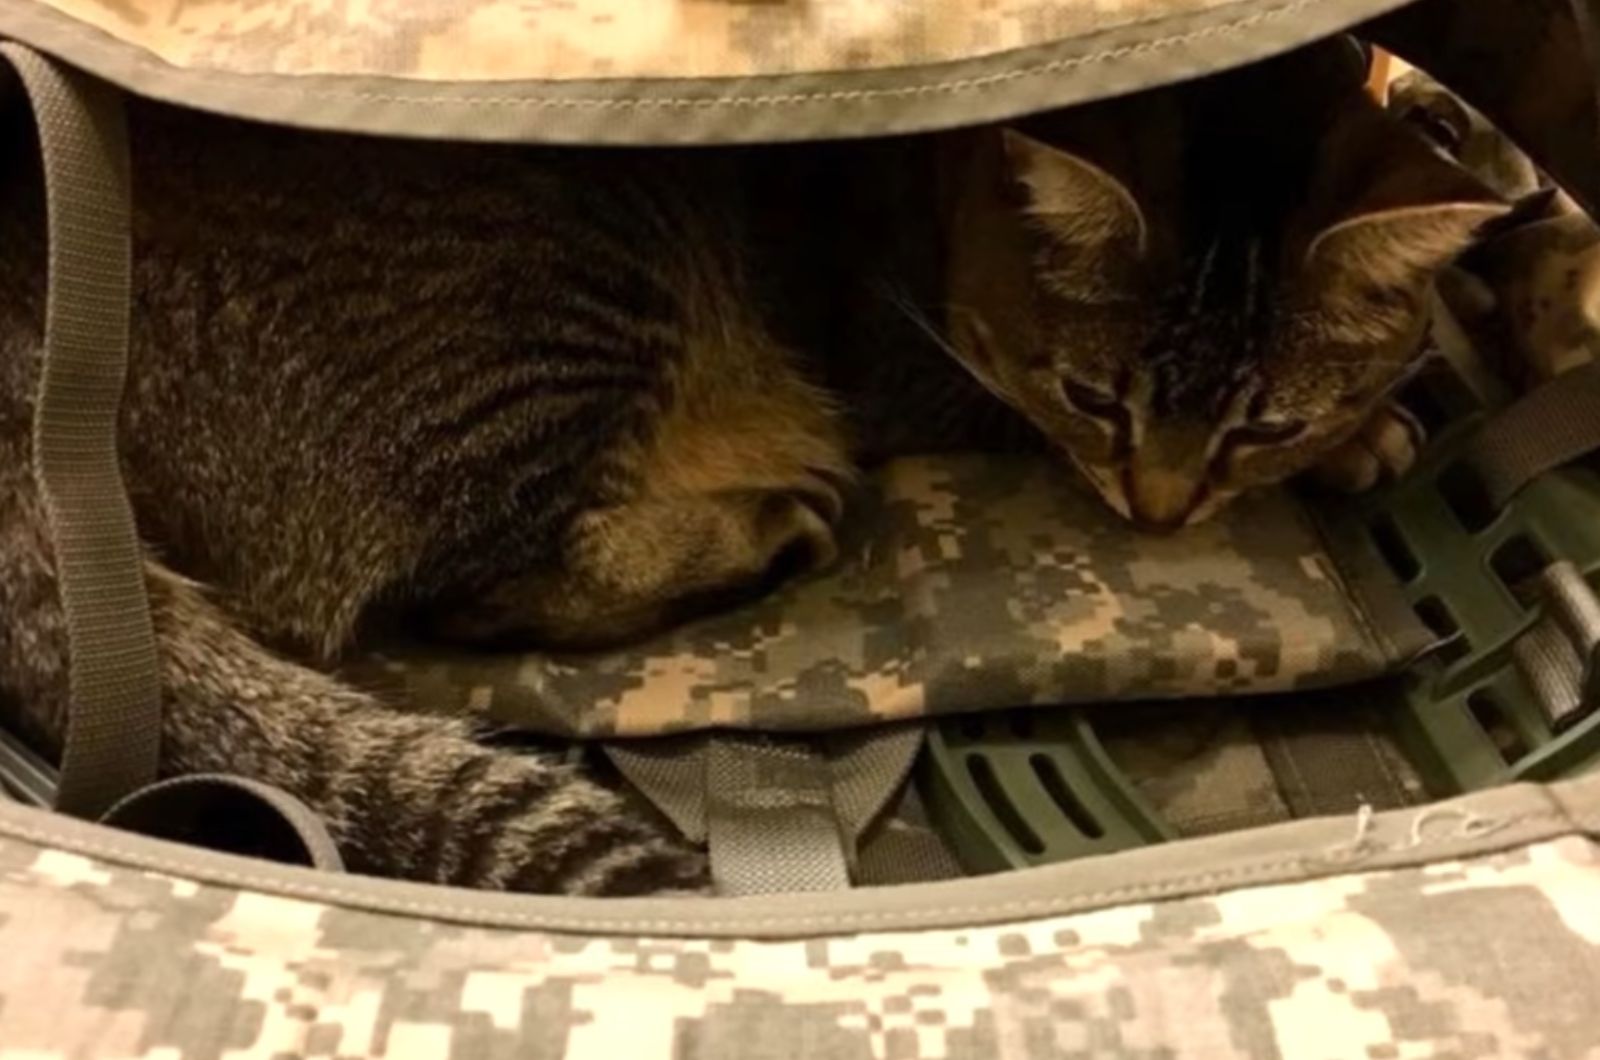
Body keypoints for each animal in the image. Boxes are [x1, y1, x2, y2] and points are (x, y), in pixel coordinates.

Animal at [0, 45, 1497, 903]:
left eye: (1258, 422)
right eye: (1093, 396)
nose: (1166, 509)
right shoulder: (915, 371)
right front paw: (1372, 429)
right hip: (568, 273)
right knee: (476, 592)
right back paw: (766, 523)